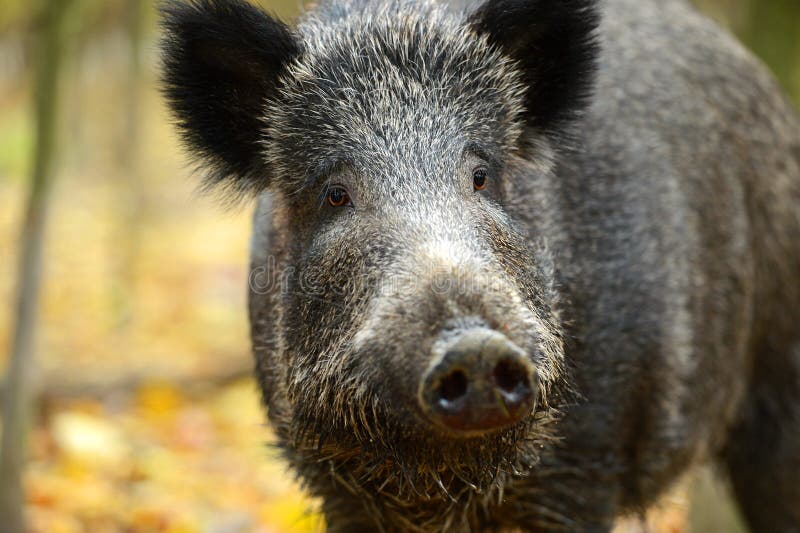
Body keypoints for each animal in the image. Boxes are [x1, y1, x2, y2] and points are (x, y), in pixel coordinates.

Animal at [160, 0, 800, 530]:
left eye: (481, 175)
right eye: (335, 194)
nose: (475, 347)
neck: (443, 484)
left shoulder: (587, 459)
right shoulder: (330, 482)